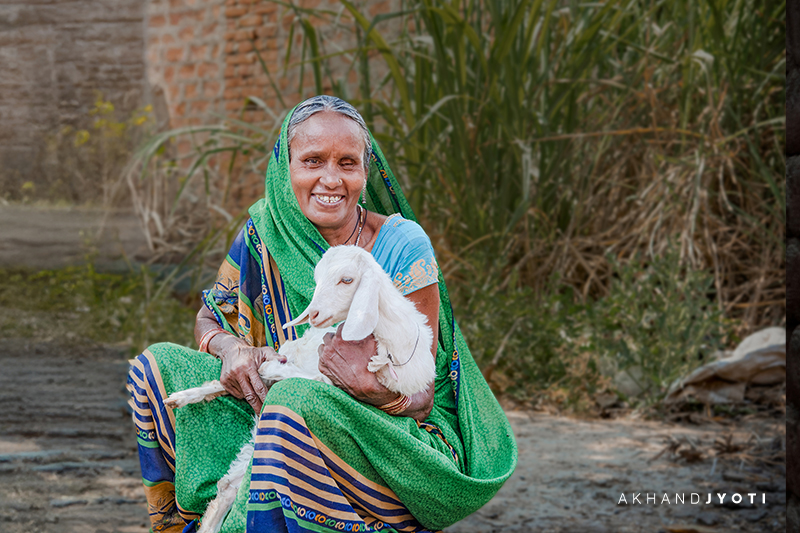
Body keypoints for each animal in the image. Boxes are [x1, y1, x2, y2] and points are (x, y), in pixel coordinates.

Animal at [165, 245, 434, 532]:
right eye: (317, 279)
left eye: (347, 279)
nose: (313, 314)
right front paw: (263, 368)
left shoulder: (338, 375)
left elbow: (310, 378)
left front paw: (269, 369)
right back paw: (181, 398)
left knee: (228, 485)